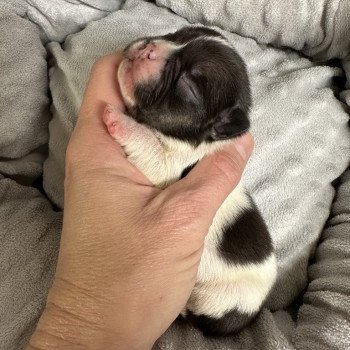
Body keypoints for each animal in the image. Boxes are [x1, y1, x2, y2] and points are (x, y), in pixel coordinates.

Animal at [103, 26, 276, 336]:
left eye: (187, 86)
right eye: (177, 33)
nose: (148, 47)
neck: (197, 142)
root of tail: (255, 312)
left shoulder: (167, 164)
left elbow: (147, 144)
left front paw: (118, 120)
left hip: (219, 299)